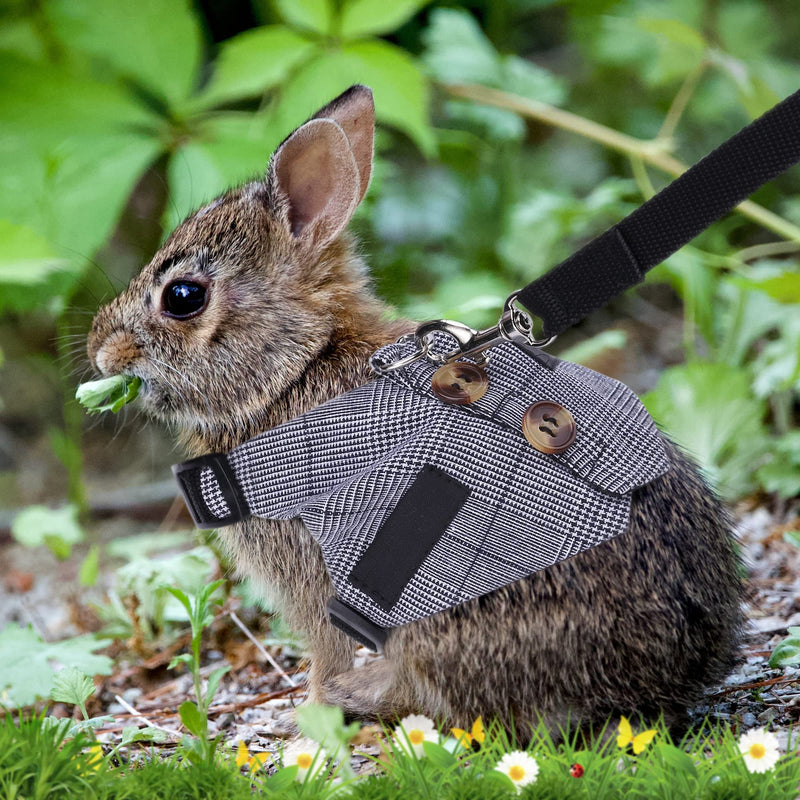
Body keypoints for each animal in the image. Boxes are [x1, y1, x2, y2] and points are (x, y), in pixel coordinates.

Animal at [87, 85, 744, 741]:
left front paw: (315, 712)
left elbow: (327, 649)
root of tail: (661, 680)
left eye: (183, 297)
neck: (296, 365)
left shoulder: (318, 580)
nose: (99, 349)